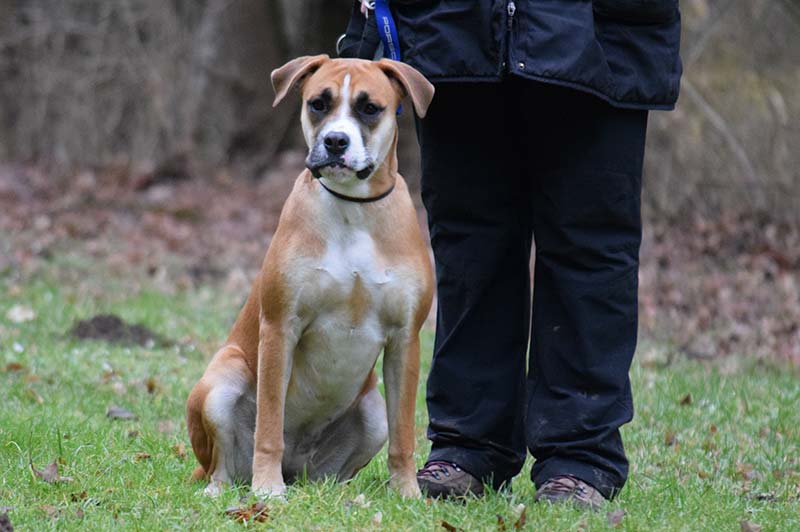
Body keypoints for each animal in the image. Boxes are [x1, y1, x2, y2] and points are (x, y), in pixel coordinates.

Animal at [185, 55, 434, 498]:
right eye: (319, 103)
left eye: (370, 108)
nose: (336, 141)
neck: (354, 209)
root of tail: (296, 468)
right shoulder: (280, 327)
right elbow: (269, 423)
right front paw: (267, 489)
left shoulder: (406, 339)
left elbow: (404, 434)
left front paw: (407, 492)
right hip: (222, 377)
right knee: (221, 466)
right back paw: (227, 487)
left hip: (372, 411)